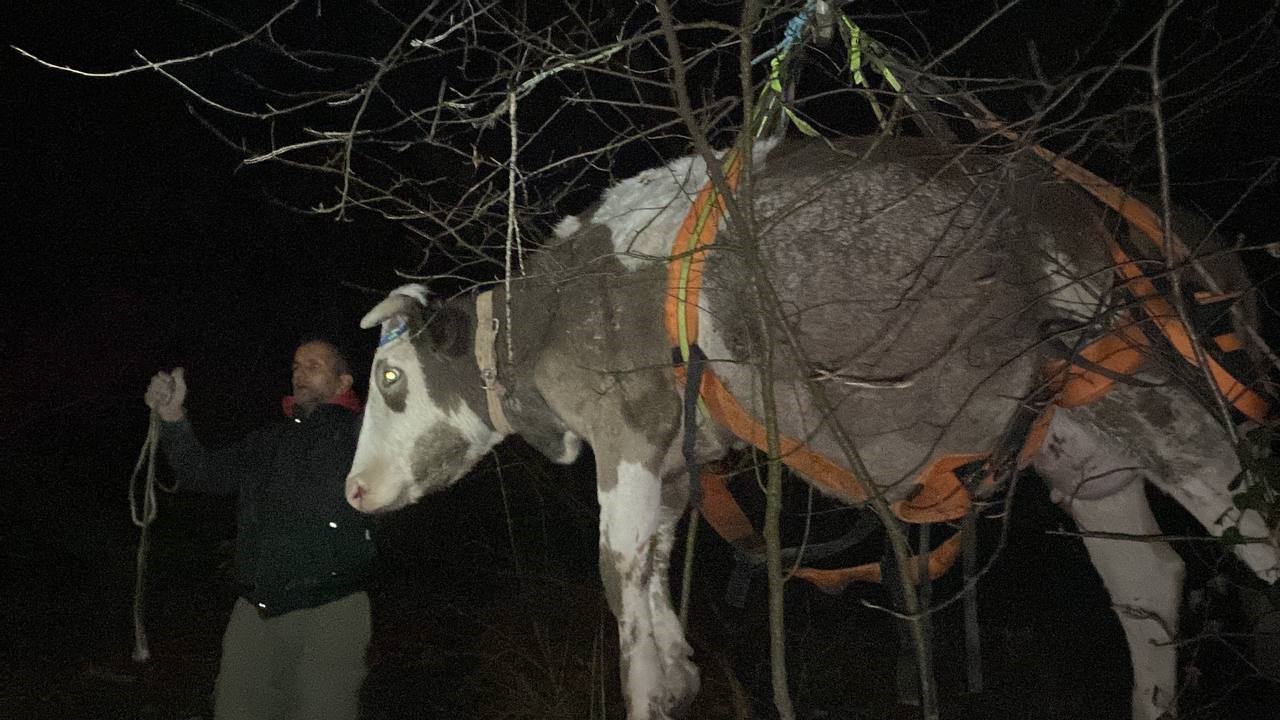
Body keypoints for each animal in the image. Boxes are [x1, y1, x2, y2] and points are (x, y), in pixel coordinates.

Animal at [343, 135, 1280, 717]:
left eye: (390, 379)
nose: (352, 490)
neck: (545, 323)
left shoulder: (632, 429)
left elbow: (618, 579)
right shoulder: (677, 461)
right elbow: (650, 582)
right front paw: (678, 672)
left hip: (1144, 377)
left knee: (1250, 521)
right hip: (1082, 446)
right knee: (1149, 580)